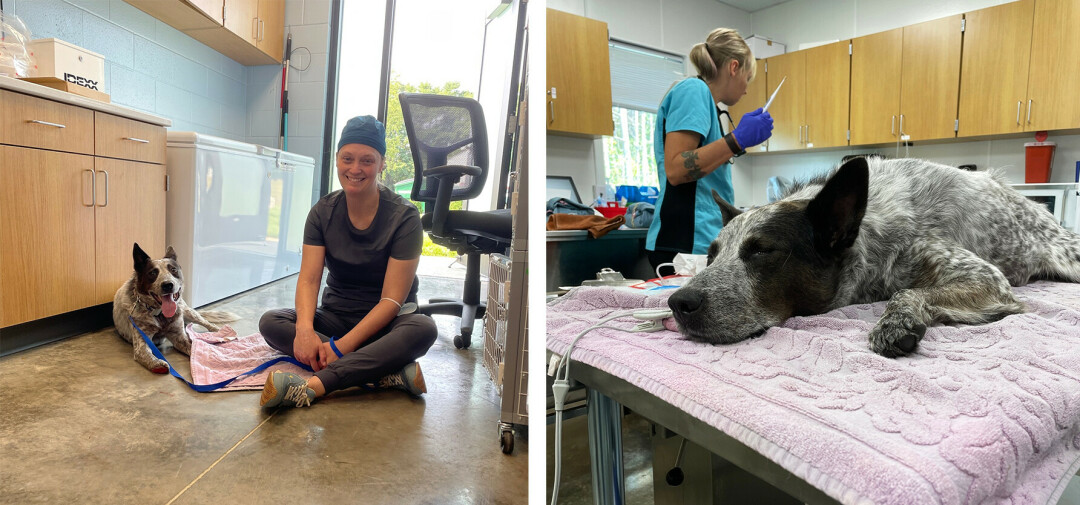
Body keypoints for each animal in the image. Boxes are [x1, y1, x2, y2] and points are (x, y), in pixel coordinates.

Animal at [113, 242, 236, 373]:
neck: (160, 314)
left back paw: (219, 331)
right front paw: (157, 364)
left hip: (188, 312)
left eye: (173, 270)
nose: (167, 285)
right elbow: (145, 353)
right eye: (152, 273)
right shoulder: (142, 341)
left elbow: (191, 346)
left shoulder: (178, 336)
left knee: (206, 322)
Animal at [665, 155, 1080, 356]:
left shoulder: (988, 279)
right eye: (711, 256)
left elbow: (907, 292)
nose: (678, 302)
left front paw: (897, 322)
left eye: (763, 250)